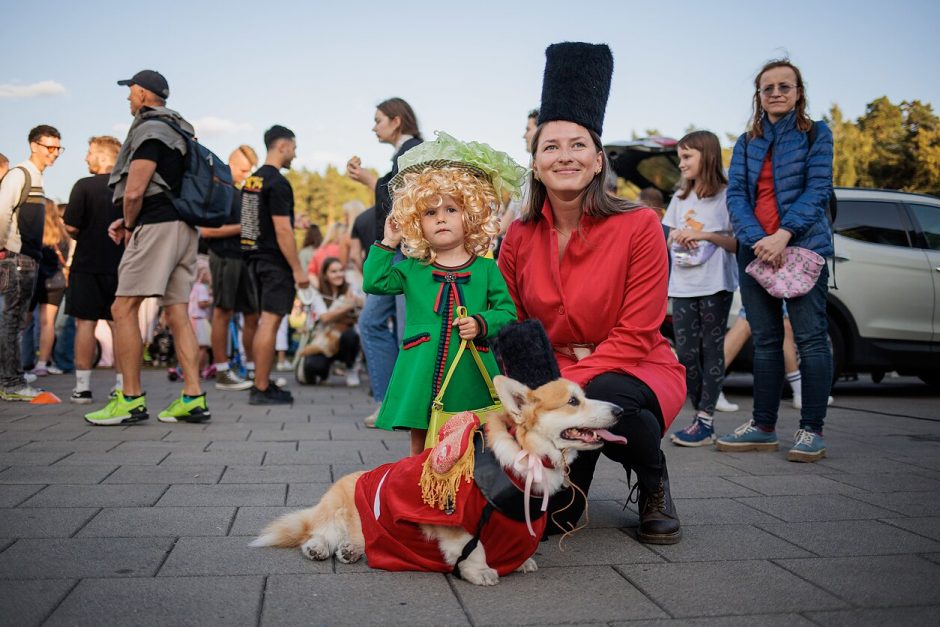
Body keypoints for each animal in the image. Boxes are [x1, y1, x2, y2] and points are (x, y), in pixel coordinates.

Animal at [253, 376, 628, 588]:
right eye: (573, 402)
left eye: (583, 396)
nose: (621, 411)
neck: (524, 451)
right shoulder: (453, 520)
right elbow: (472, 547)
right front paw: (481, 572)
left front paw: (521, 563)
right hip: (336, 513)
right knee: (318, 534)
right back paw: (319, 548)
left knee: (355, 540)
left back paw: (352, 550)